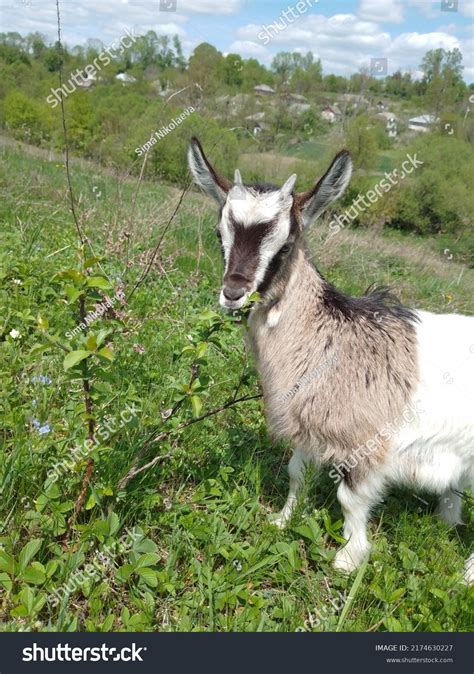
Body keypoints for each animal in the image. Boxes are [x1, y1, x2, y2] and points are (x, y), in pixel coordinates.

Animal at [187, 137, 474, 583]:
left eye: (286, 245)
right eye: (220, 232)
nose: (233, 293)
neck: (330, 340)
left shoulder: (365, 442)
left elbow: (350, 499)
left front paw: (348, 559)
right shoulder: (308, 424)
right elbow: (297, 475)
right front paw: (281, 521)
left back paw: (467, 576)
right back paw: (449, 521)